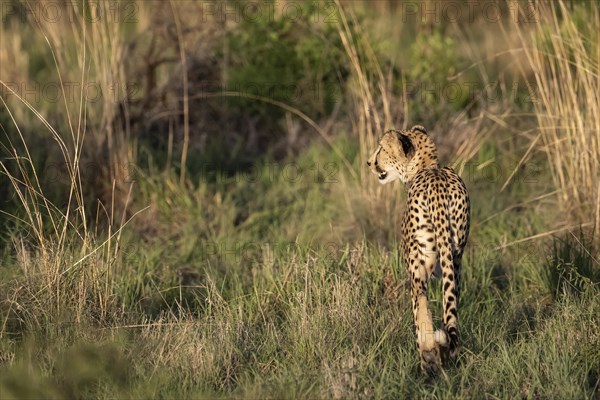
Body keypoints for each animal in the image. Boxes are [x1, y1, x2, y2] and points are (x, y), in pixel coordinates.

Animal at [366, 125, 468, 376]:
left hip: (419, 266)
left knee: (421, 305)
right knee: (450, 311)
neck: (427, 167)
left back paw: (427, 358)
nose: (369, 162)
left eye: (381, 149)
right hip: (454, 257)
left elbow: (420, 312)